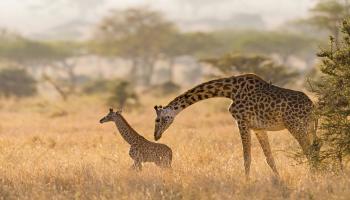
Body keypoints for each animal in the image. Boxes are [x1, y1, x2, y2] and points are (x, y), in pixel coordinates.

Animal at [153, 73, 320, 178]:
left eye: (158, 120)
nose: (156, 136)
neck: (230, 91)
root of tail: (312, 107)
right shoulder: (258, 128)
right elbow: (269, 158)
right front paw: (279, 180)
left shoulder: (242, 122)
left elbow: (246, 157)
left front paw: (246, 182)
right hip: (308, 128)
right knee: (316, 148)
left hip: (296, 126)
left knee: (309, 151)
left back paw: (312, 177)